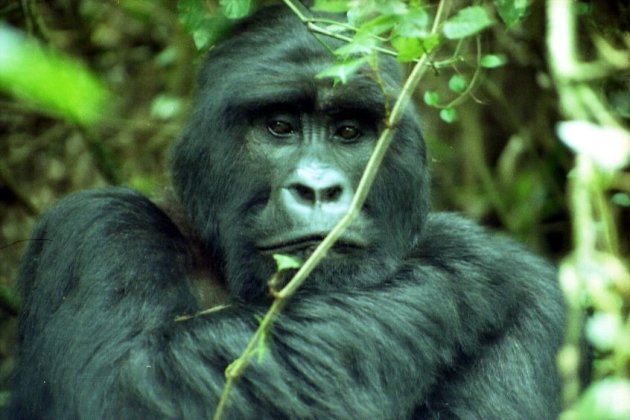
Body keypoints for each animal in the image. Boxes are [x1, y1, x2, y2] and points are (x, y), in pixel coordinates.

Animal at [7, 4, 564, 420]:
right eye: (280, 127)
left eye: (348, 132)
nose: (317, 189)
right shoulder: (97, 228)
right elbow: (124, 384)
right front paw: (458, 258)